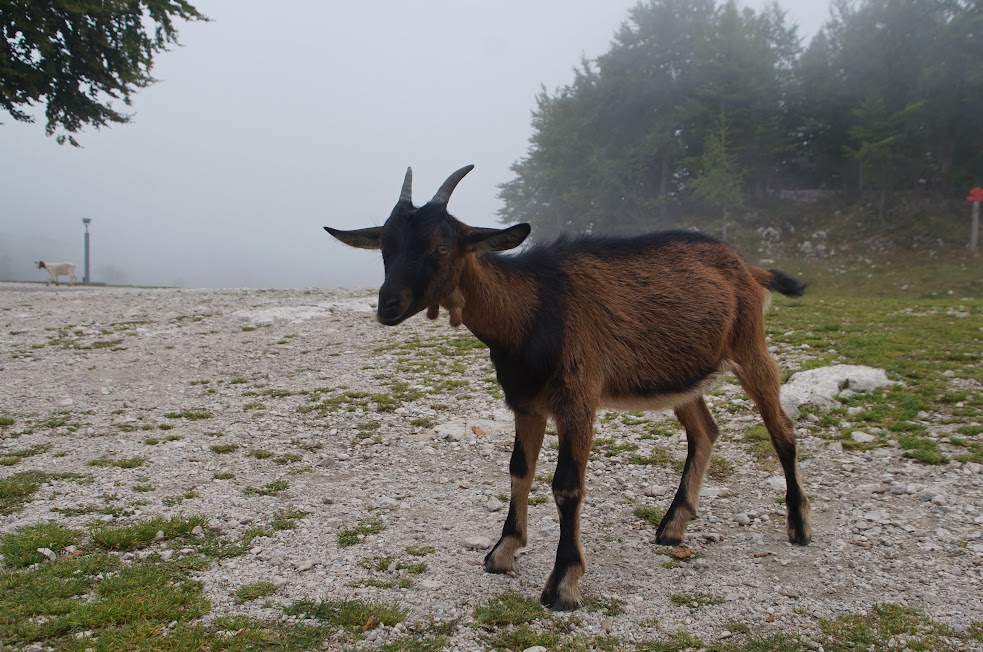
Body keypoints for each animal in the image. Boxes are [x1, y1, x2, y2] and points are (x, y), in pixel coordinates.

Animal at [326, 164, 812, 612]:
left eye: (442, 246)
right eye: (386, 246)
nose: (388, 304)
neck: (531, 311)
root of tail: (750, 268)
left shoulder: (578, 399)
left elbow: (567, 486)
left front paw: (563, 582)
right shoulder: (525, 402)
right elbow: (519, 469)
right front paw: (502, 551)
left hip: (750, 345)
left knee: (782, 430)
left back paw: (799, 526)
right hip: (681, 375)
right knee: (704, 431)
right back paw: (673, 528)